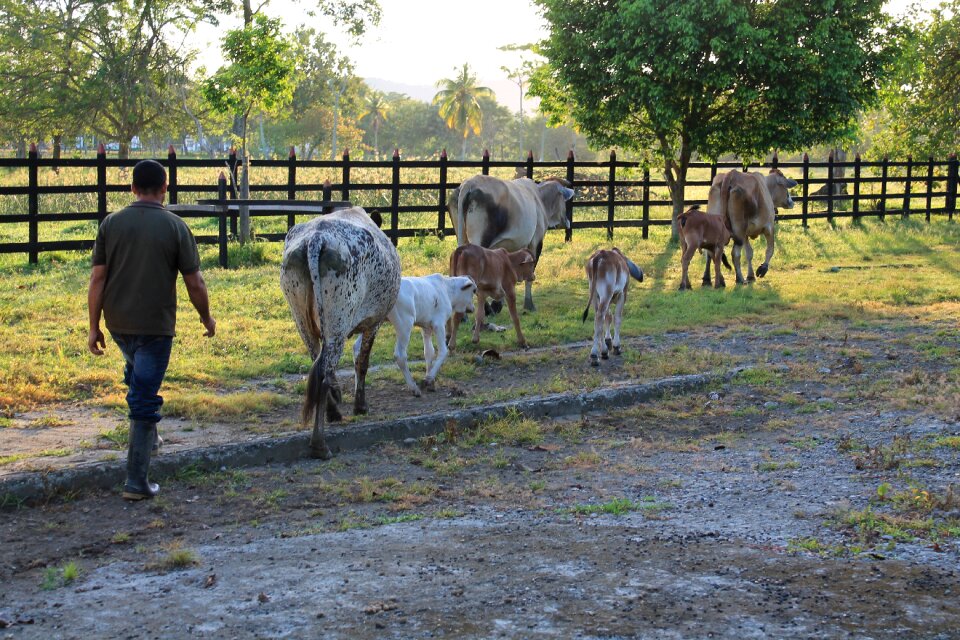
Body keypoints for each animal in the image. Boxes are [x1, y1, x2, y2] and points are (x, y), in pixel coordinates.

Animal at [280, 208, 400, 458]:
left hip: (303, 321)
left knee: (318, 364)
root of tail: (316, 239)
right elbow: (362, 363)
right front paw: (360, 406)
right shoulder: (374, 322)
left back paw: (331, 412)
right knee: (323, 373)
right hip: (337, 325)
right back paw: (319, 444)